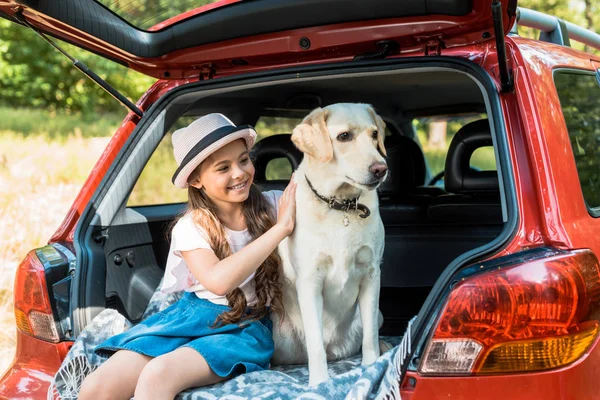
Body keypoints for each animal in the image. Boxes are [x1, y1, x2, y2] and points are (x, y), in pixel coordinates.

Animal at [274, 104, 390, 388]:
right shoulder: (310, 281)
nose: (381, 169)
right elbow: (315, 344)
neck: (341, 206)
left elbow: (370, 336)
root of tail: (336, 349)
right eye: (344, 136)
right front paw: (319, 383)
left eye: (374, 134)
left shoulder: (372, 274)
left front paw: (371, 366)